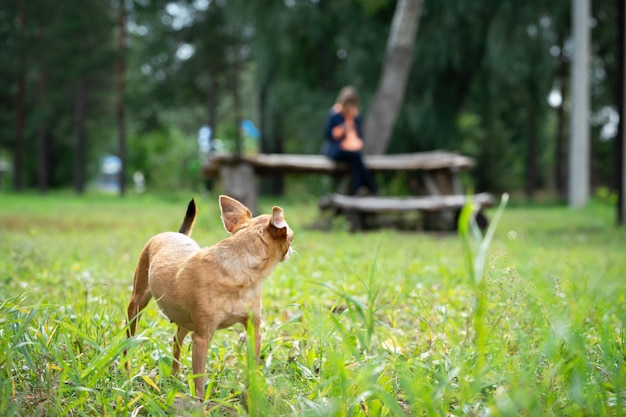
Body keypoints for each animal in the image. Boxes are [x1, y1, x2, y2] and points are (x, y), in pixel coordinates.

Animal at [127, 195, 294, 396]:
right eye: (290, 236)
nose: (291, 249)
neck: (240, 275)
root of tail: (176, 234)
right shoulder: (202, 338)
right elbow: (199, 379)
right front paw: (200, 401)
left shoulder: (253, 332)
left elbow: (252, 367)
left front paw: (252, 394)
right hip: (137, 304)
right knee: (128, 341)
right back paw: (126, 372)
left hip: (186, 321)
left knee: (176, 341)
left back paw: (173, 377)